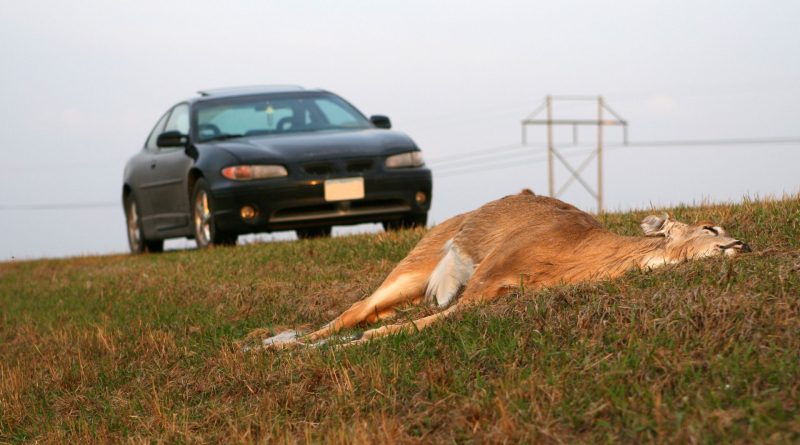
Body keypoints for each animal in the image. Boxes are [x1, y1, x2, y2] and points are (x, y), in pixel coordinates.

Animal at [260, 189, 752, 348]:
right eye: (710, 226)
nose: (743, 245)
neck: (572, 254)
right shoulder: (485, 278)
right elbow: (406, 326)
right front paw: (340, 346)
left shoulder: (495, 292)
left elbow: (419, 323)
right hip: (416, 261)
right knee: (355, 309)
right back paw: (279, 345)